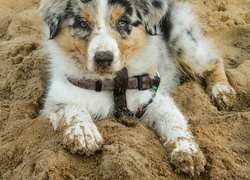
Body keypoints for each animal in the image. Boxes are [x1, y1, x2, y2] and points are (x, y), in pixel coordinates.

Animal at [39, 0, 236, 176]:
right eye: (82, 24)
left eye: (123, 22)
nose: (103, 58)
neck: (112, 83)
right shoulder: (54, 101)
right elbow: (73, 107)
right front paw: (83, 132)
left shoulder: (153, 96)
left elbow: (172, 118)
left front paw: (187, 151)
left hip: (184, 44)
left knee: (213, 61)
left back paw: (222, 92)